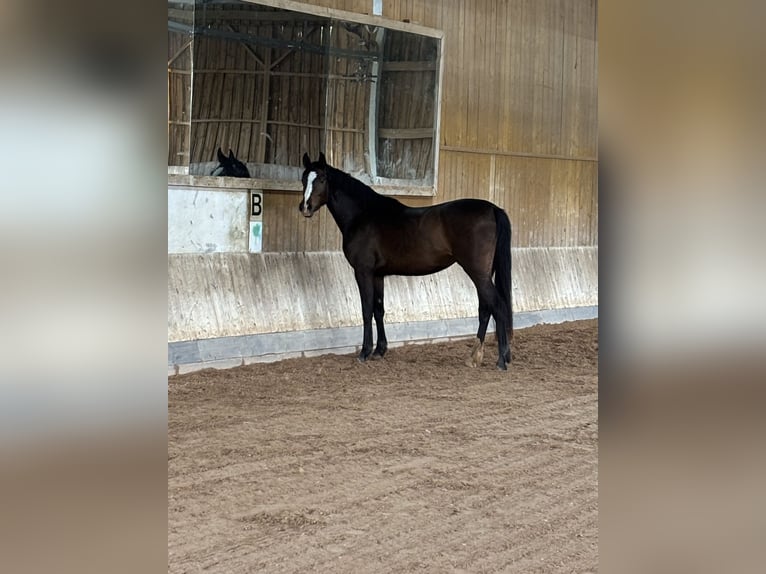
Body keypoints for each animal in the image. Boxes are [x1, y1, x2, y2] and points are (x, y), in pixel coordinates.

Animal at [299, 152, 514, 370]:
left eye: (322, 179)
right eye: (303, 179)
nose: (305, 207)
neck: (363, 215)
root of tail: (493, 209)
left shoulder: (363, 271)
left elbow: (366, 310)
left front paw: (365, 352)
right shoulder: (378, 275)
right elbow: (378, 309)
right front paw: (379, 350)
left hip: (477, 272)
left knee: (497, 306)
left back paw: (501, 360)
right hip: (483, 273)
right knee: (486, 308)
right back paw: (475, 356)